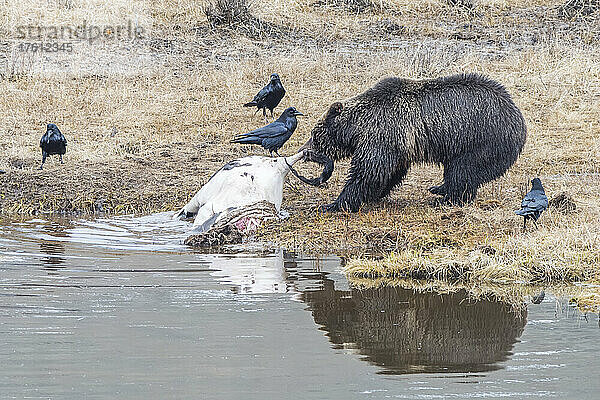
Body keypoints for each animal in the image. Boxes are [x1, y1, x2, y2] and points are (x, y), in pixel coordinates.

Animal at [302, 74, 528, 212]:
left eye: (314, 134)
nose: (305, 150)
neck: (357, 126)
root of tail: (518, 117)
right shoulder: (398, 145)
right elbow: (389, 172)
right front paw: (376, 194)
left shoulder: (383, 135)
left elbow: (367, 172)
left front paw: (333, 204)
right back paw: (439, 188)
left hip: (478, 140)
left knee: (462, 170)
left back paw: (445, 198)